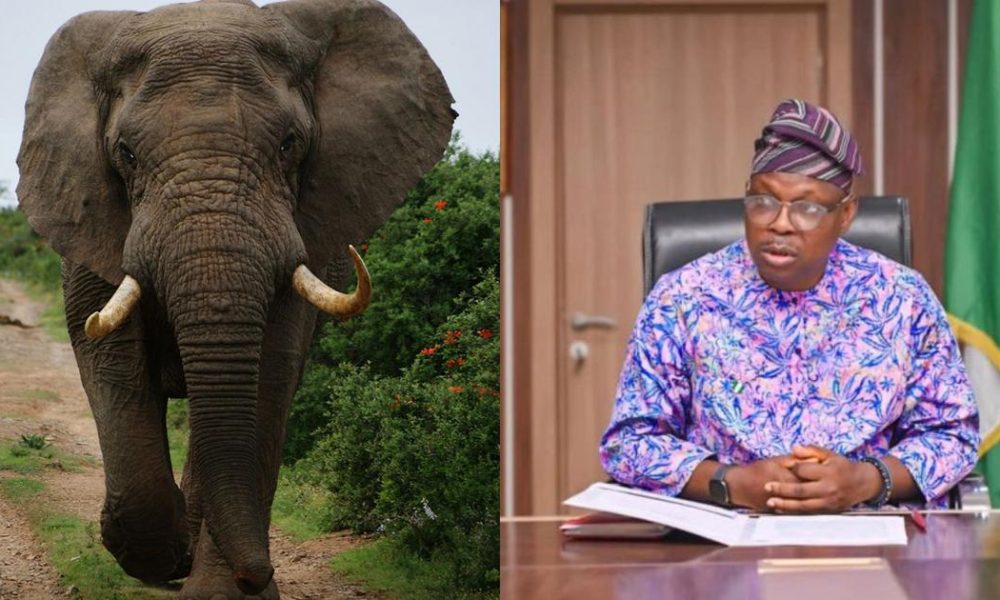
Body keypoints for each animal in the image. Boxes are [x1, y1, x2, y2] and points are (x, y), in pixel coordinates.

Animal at [16, 0, 454, 597]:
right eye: (125, 154)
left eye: (290, 144)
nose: (259, 575)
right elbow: (111, 360)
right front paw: (159, 553)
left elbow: (270, 371)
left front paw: (217, 586)